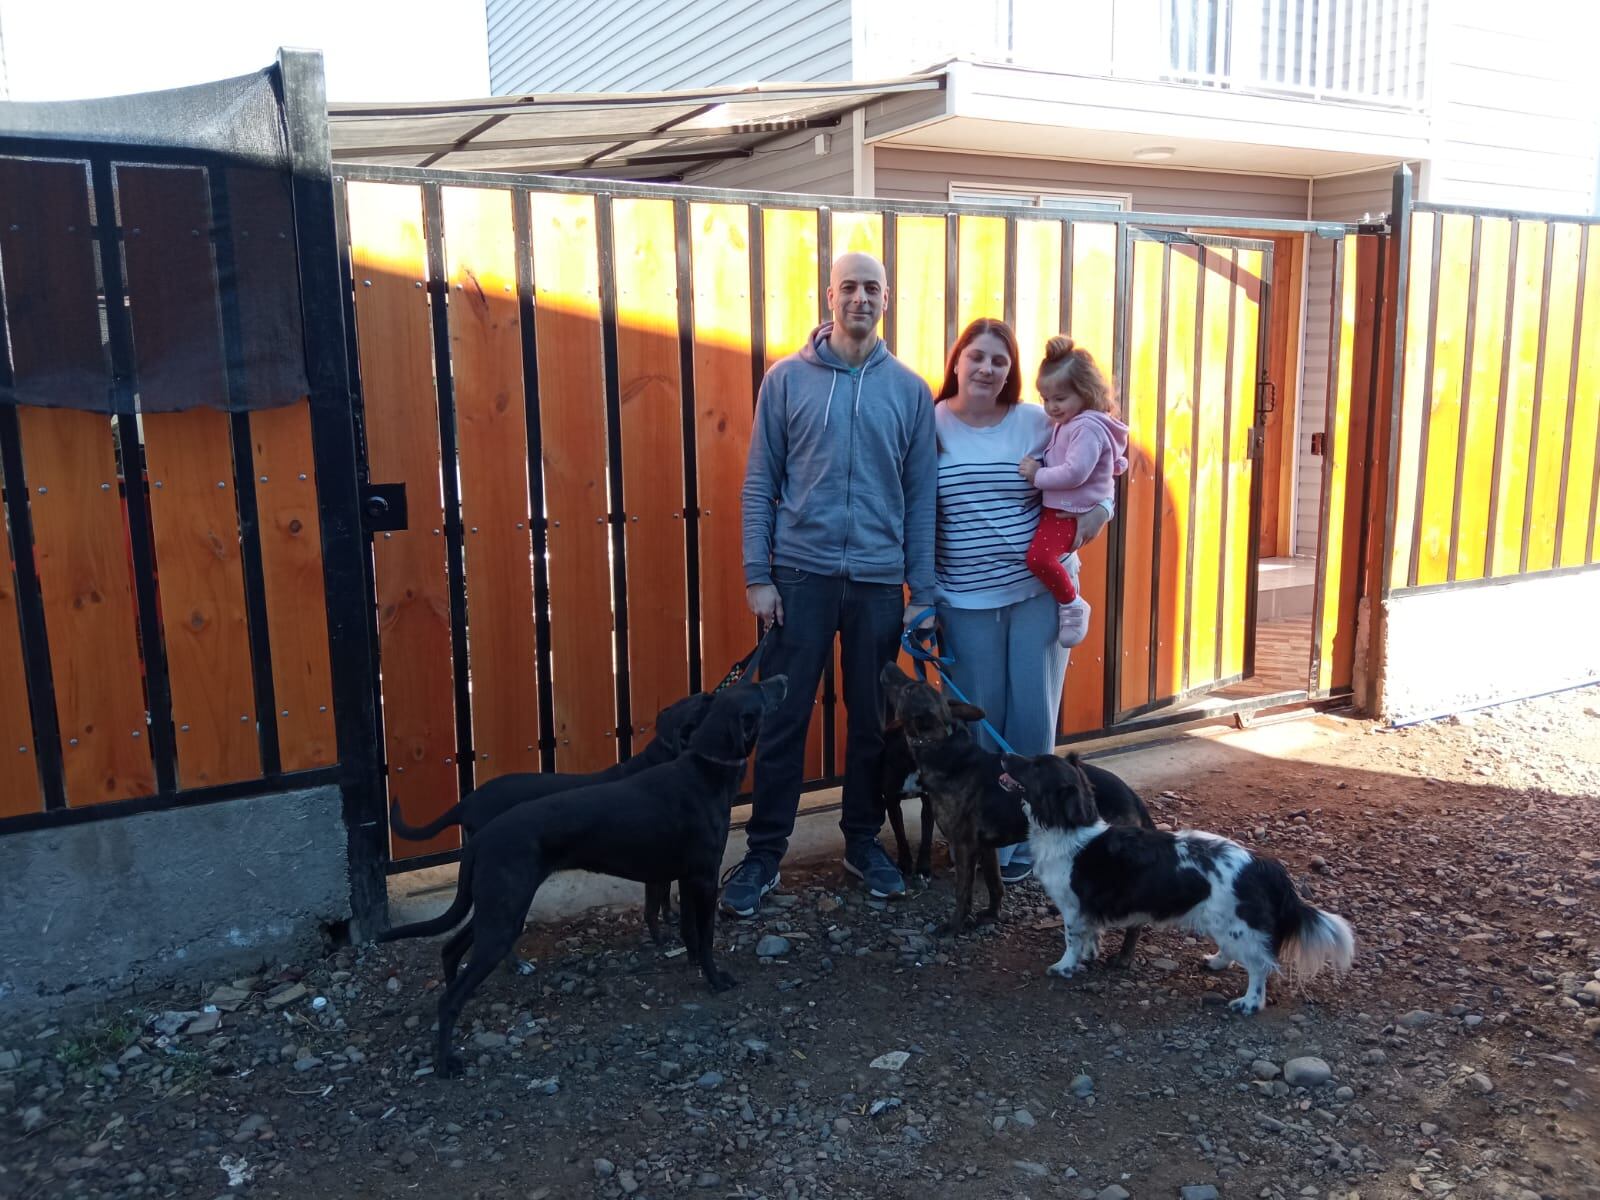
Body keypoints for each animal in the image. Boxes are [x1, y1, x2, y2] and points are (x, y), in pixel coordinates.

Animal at [387, 691, 713, 947]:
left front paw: (670, 917)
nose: (708, 693)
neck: (664, 757)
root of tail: (467, 801)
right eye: (697, 706)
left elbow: (666, 894)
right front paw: (660, 935)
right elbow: (653, 904)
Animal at [883, 662, 1158, 953]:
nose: (889, 665)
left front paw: (954, 926)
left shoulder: (964, 846)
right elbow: (995, 884)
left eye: (908, 689)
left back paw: (1123, 956)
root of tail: (1133, 797)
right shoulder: (986, 846)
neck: (944, 749)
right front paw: (991, 915)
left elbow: (962, 893)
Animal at [1004, 752, 1356, 1017]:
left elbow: (1071, 940)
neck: (1069, 830)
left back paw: (1249, 1003)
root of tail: (1263, 865)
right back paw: (1216, 961)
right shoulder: (1089, 910)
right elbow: (1091, 936)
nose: (1005, 755)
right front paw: (1088, 957)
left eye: (1036, 766)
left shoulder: (1073, 908)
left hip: (1237, 925)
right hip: (1223, 923)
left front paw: (1065, 966)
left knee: (1259, 967)